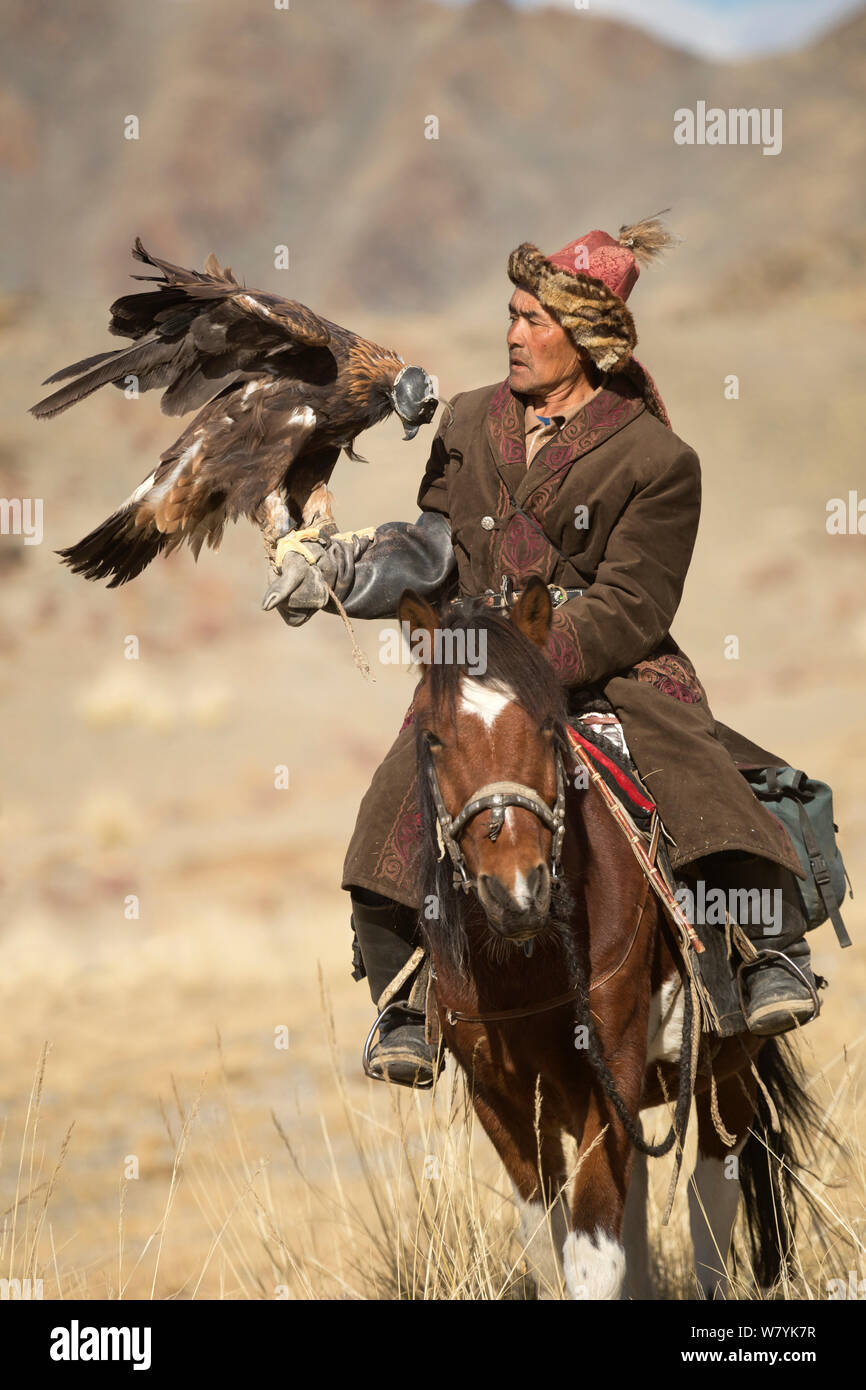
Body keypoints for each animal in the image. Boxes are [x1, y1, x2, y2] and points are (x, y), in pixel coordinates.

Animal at [398, 577, 822, 1300]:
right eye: (432, 738)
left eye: (546, 726)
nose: (516, 890)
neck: (529, 962)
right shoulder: (500, 1095)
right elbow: (547, 1242)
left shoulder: (613, 1064)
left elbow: (593, 1253)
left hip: (728, 1066)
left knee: (709, 1192)